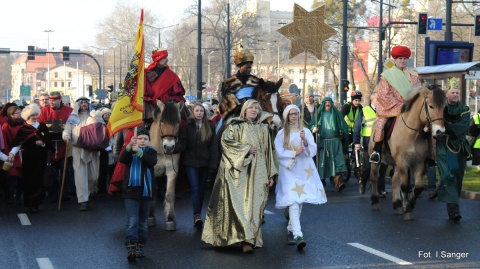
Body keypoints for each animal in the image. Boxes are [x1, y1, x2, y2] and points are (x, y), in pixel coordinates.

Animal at [149, 99, 183, 229]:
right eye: (162, 121)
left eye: (177, 122)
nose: (169, 147)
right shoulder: (152, 171)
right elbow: (151, 192)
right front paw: (150, 216)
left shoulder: (172, 170)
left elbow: (169, 194)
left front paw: (170, 219)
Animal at [368, 84, 446, 220]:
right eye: (431, 106)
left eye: (444, 107)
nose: (440, 131)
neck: (412, 133)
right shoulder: (402, 161)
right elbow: (405, 186)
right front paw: (408, 209)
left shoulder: (418, 162)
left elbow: (418, 187)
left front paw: (410, 204)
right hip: (377, 161)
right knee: (374, 178)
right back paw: (375, 202)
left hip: (396, 163)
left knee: (394, 180)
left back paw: (398, 204)